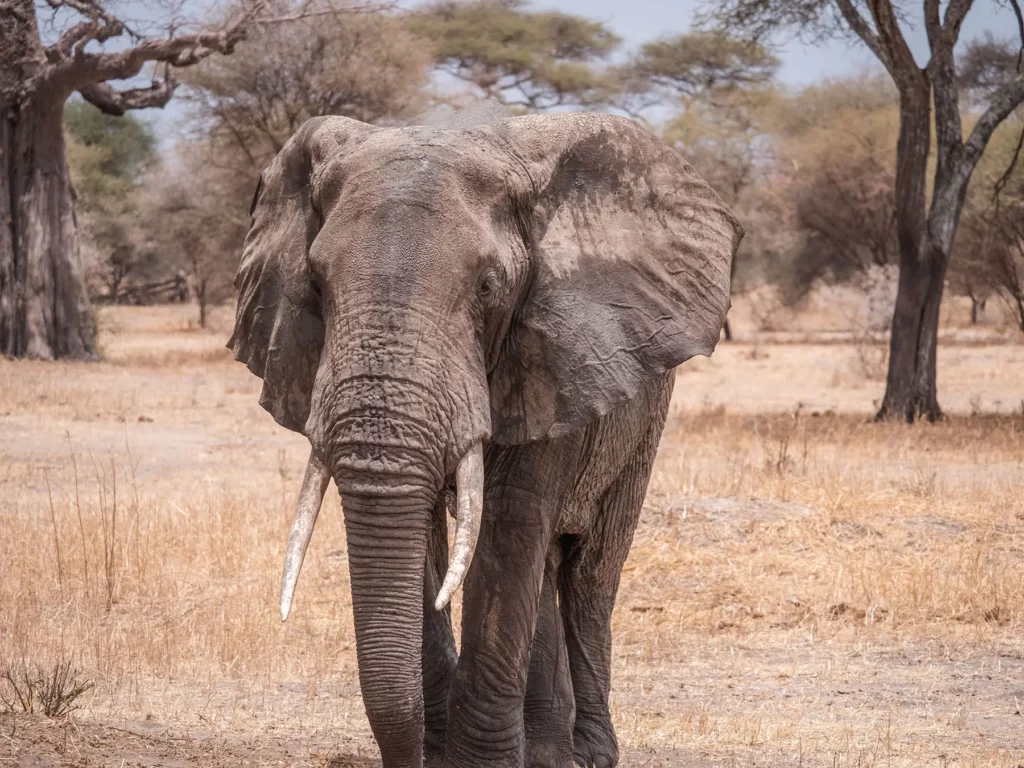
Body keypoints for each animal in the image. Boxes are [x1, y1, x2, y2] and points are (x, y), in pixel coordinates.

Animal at [228, 102, 741, 768]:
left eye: (489, 287)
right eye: (315, 284)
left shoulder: (556, 353)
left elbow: (508, 523)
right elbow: (425, 532)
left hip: (643, 422)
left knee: (589, 574)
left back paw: (587, 755)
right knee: (547, 567)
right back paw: (549, 750)